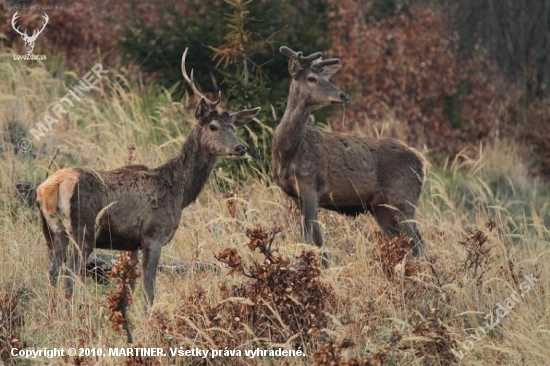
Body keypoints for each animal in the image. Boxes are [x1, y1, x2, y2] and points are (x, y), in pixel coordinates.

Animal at [37, 48, 262, 304]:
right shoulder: (153, 235)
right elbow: (149, 288)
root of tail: (50, 187)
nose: (240, 147)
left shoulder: (131, 243)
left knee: (53, 271)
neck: (178, 192)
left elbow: (130, 287)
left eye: (234, 127)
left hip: (51, 231)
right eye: (213, 126)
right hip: (83, 228)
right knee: (69, 273)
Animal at [274, 46, 430, 258]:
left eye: (325, 78)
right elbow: (319, 241)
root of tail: (423, 163)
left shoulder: (310, 184)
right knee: (405, 241)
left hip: (403, 199)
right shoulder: (297, 195)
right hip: (380, 207)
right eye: (311, 78)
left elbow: (307, 238)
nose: (343, 95)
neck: (287, 153)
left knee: (417, 242)